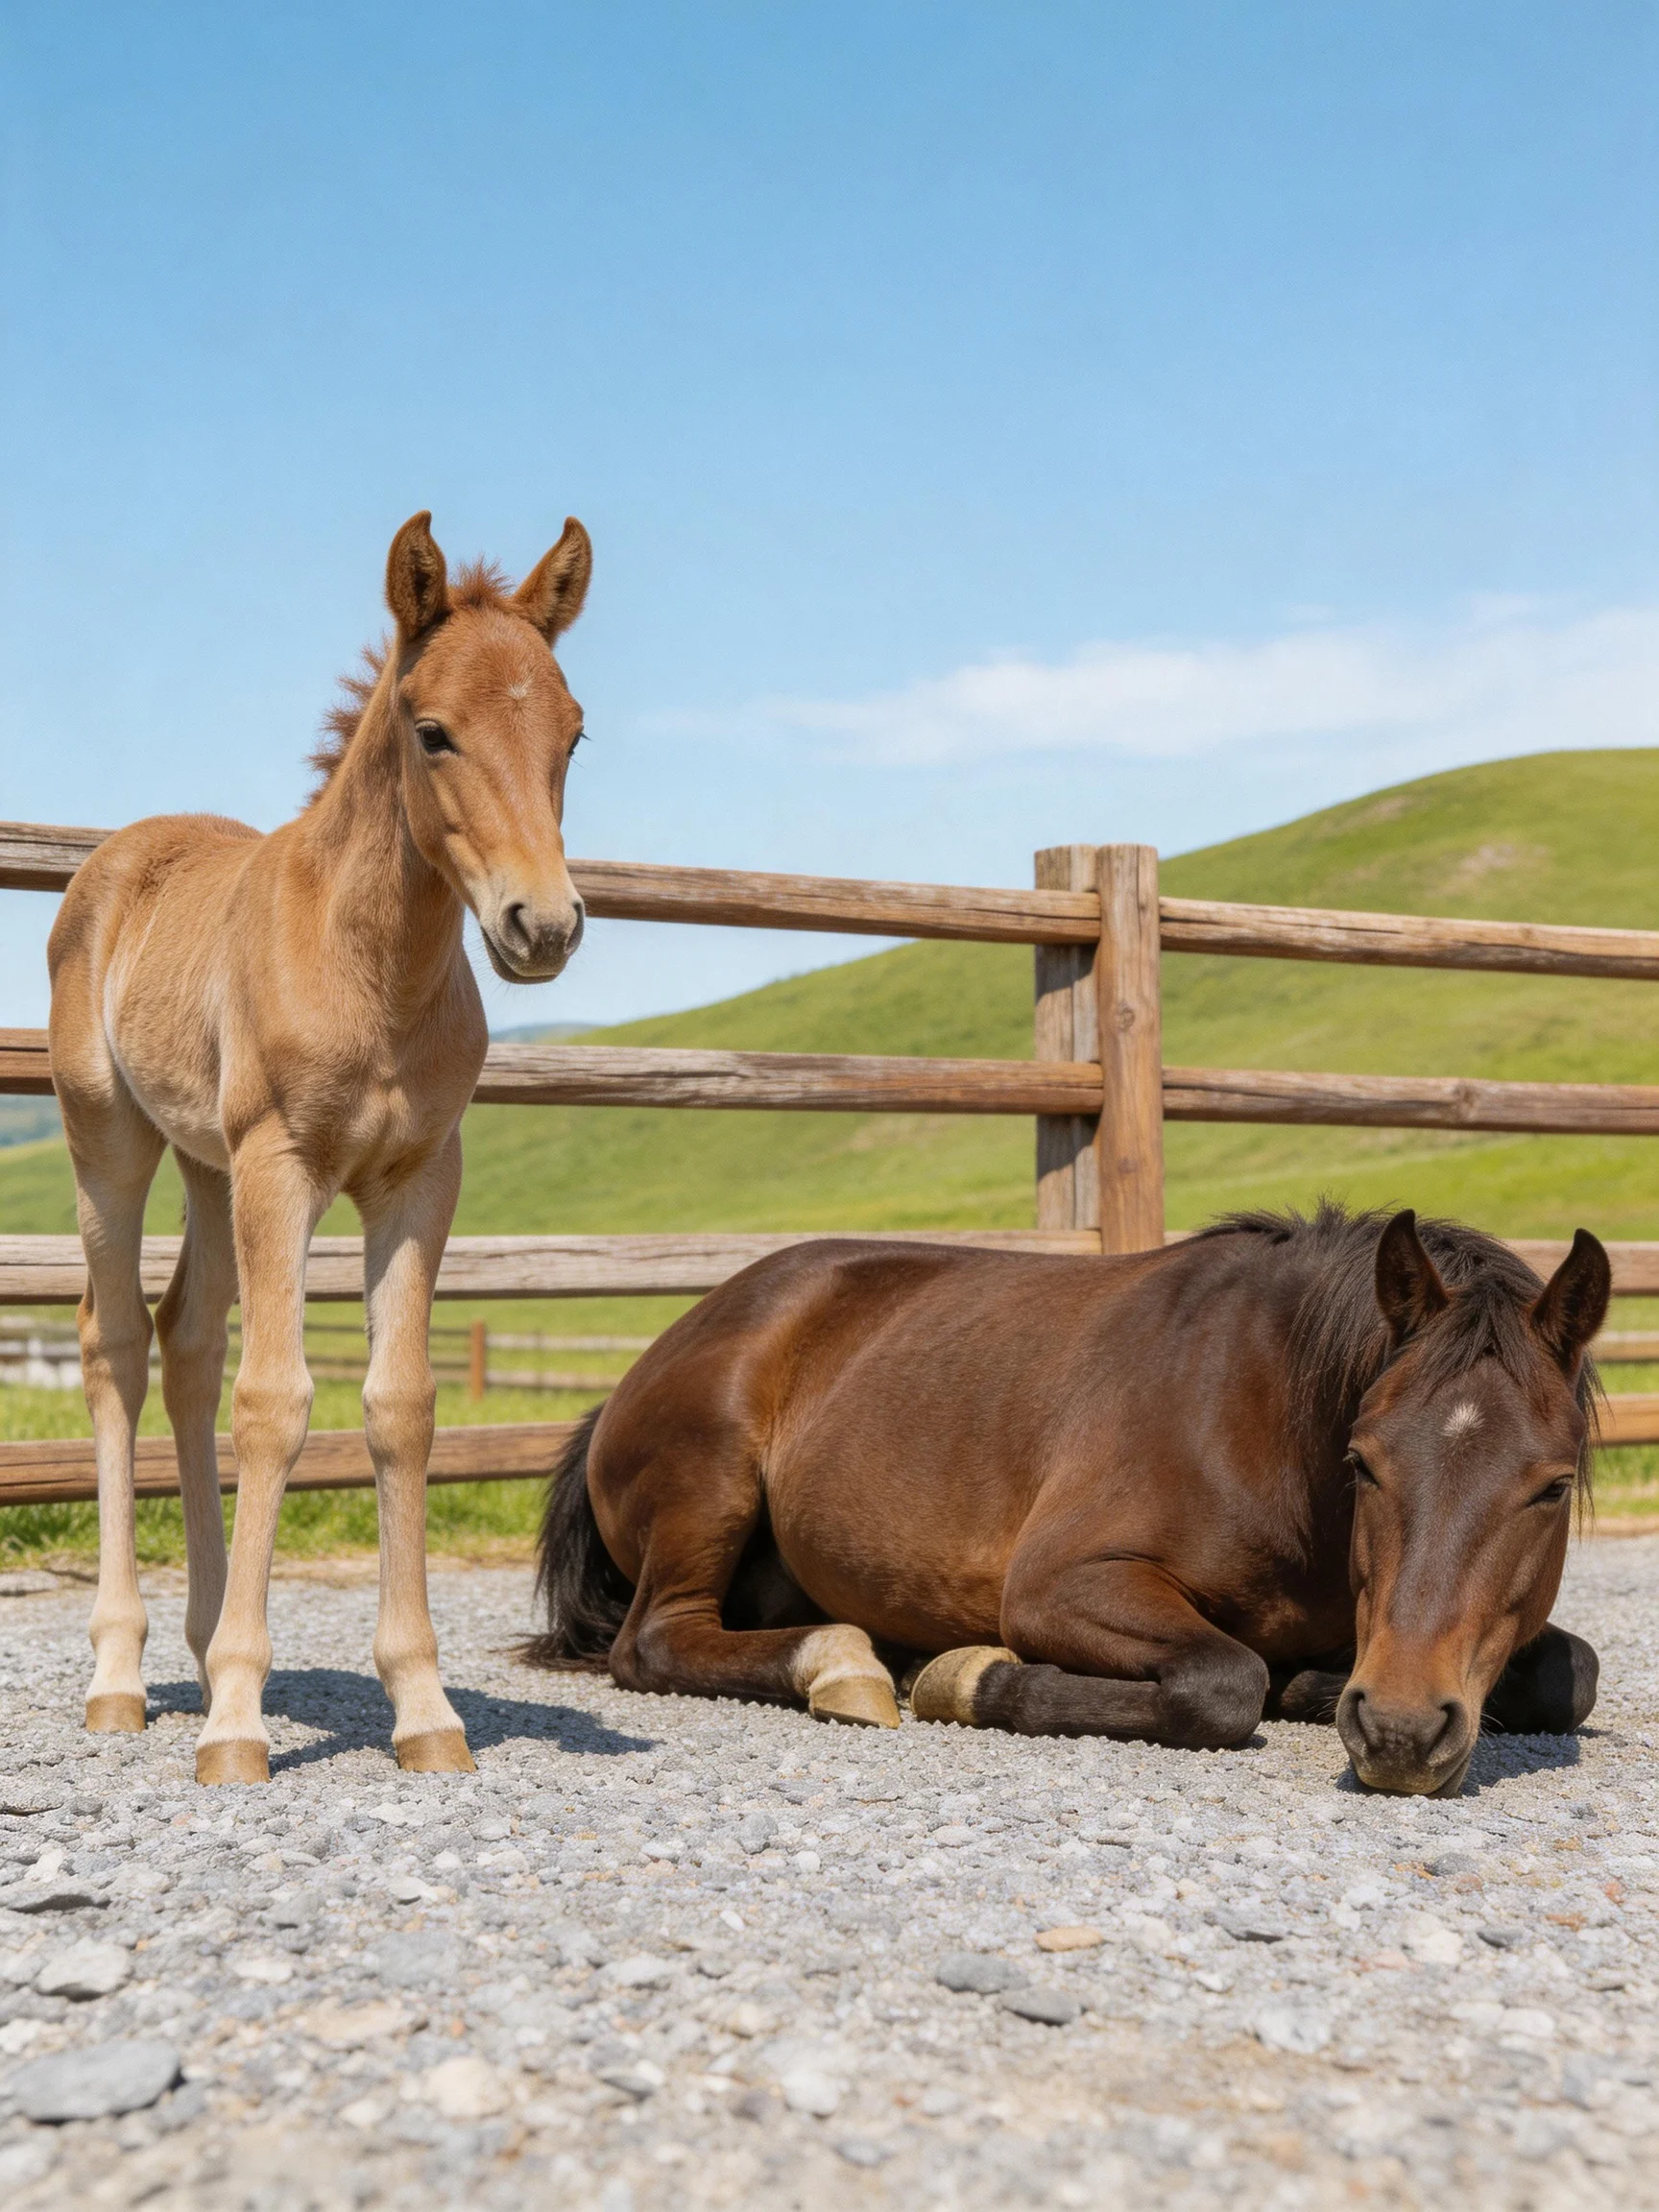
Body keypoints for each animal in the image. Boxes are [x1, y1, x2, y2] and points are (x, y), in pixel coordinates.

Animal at [48, 510, 591, 1784]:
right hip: (117, 1144)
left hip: (206, 1165)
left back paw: (199, 1649)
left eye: (573, 734)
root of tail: (116, 855)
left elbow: (398, 1407)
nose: (542, 927)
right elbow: (277, 1401)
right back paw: (121, 1675)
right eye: (433, 731)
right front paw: (241, 1723)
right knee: (116, 1347)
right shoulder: (282, 1167)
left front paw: (424, 1707)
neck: (371, 966)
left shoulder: (419, 1180)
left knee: (187, 1342)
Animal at [524, 1203, 1608, 1797]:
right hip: (708, 1484)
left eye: (1550, 1487)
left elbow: (1574, 1676)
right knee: (658, 1643)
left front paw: (1316, 1681)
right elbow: (1223, 1681)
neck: (1261, 1412)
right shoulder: (1058, 1586)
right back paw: (848, 1666)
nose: (1400, 1733)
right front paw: (975, 1678)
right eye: (1364, 1461)